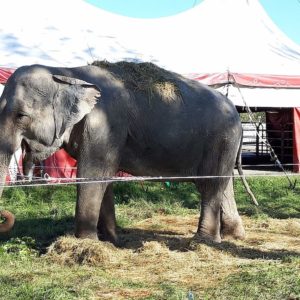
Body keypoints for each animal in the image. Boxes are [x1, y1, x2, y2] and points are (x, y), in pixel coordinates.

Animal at [0, 61, 252, 244]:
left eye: (21, 116)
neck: (66, 72)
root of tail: (237, 114)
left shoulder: (104, 125)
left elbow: (93, 174)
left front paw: (87, 242)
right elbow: (104, 177)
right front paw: (112, 240)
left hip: (221, 139)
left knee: (210, 185)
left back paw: (202, 242)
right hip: (224, 145)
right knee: (223, 185)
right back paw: (233, 235)